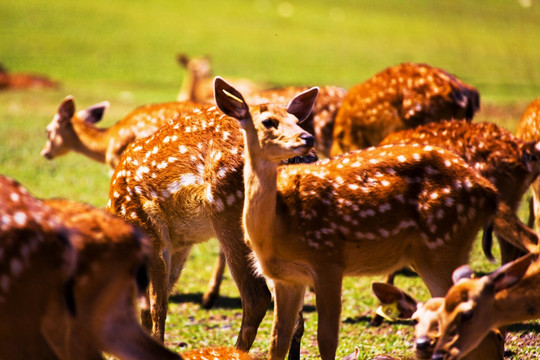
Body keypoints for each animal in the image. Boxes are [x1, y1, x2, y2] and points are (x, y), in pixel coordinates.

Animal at [214, 76, 498, 360]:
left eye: (296, 120)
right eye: (268, 121)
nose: (307, 137)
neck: (276, 226)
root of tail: (488, 190)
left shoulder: (328, 260)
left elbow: (327, 340)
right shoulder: (287, 278)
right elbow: (278, 342)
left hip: (443, 244)